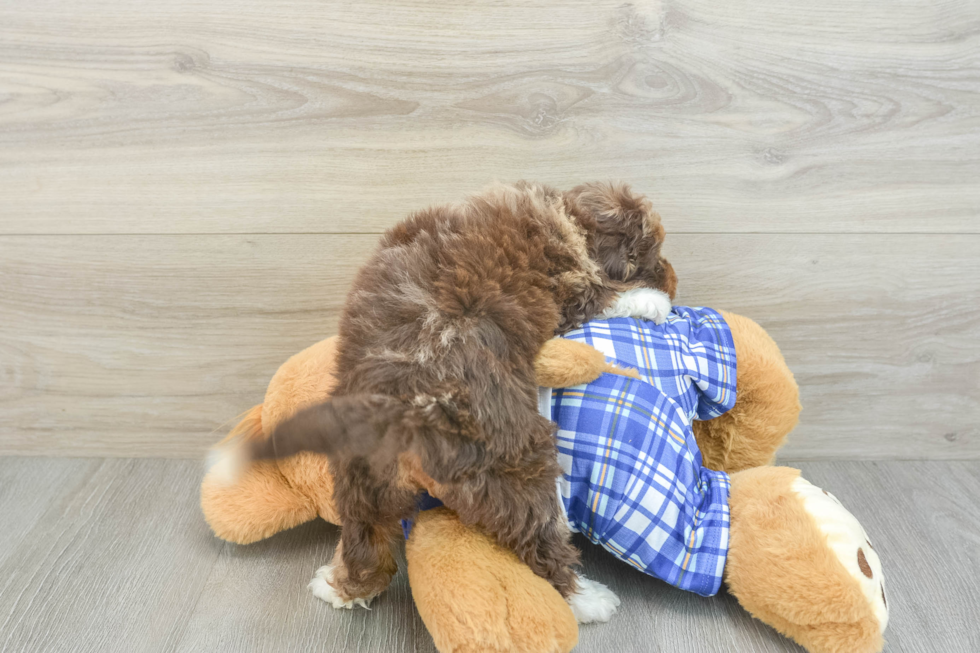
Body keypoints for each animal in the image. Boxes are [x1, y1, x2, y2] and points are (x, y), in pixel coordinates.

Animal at [237, 183, 672, 612]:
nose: (672, 279)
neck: (561, 211)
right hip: (513, 466)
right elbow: (604, 294)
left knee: (365, 536)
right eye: (652, 256)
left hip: (360, 479)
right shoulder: (568, 279)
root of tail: (403, 415)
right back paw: (588, 599)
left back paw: (340, 588)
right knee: (540, 541)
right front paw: (652, 301)